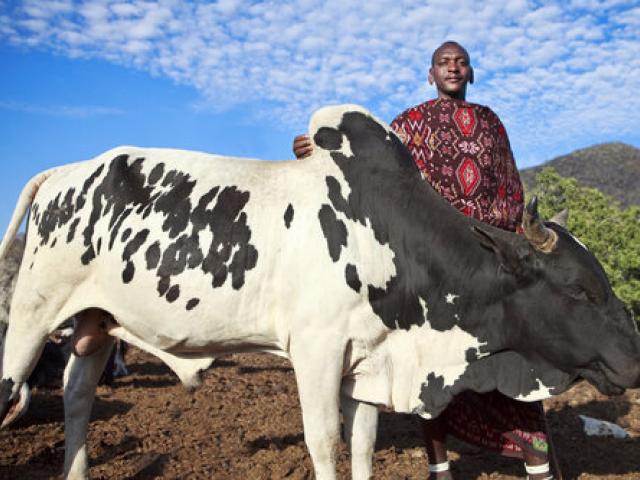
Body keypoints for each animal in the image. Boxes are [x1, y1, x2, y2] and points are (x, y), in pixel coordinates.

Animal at [0, 104, 638, 480]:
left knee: (77, 396)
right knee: (15, 389)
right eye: (580, 289)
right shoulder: (316, 352)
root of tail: (65, 171)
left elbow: (361, 444)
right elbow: (325, 442)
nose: (634, 363)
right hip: (32, 317)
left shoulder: (366, 360)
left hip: (95, 324)